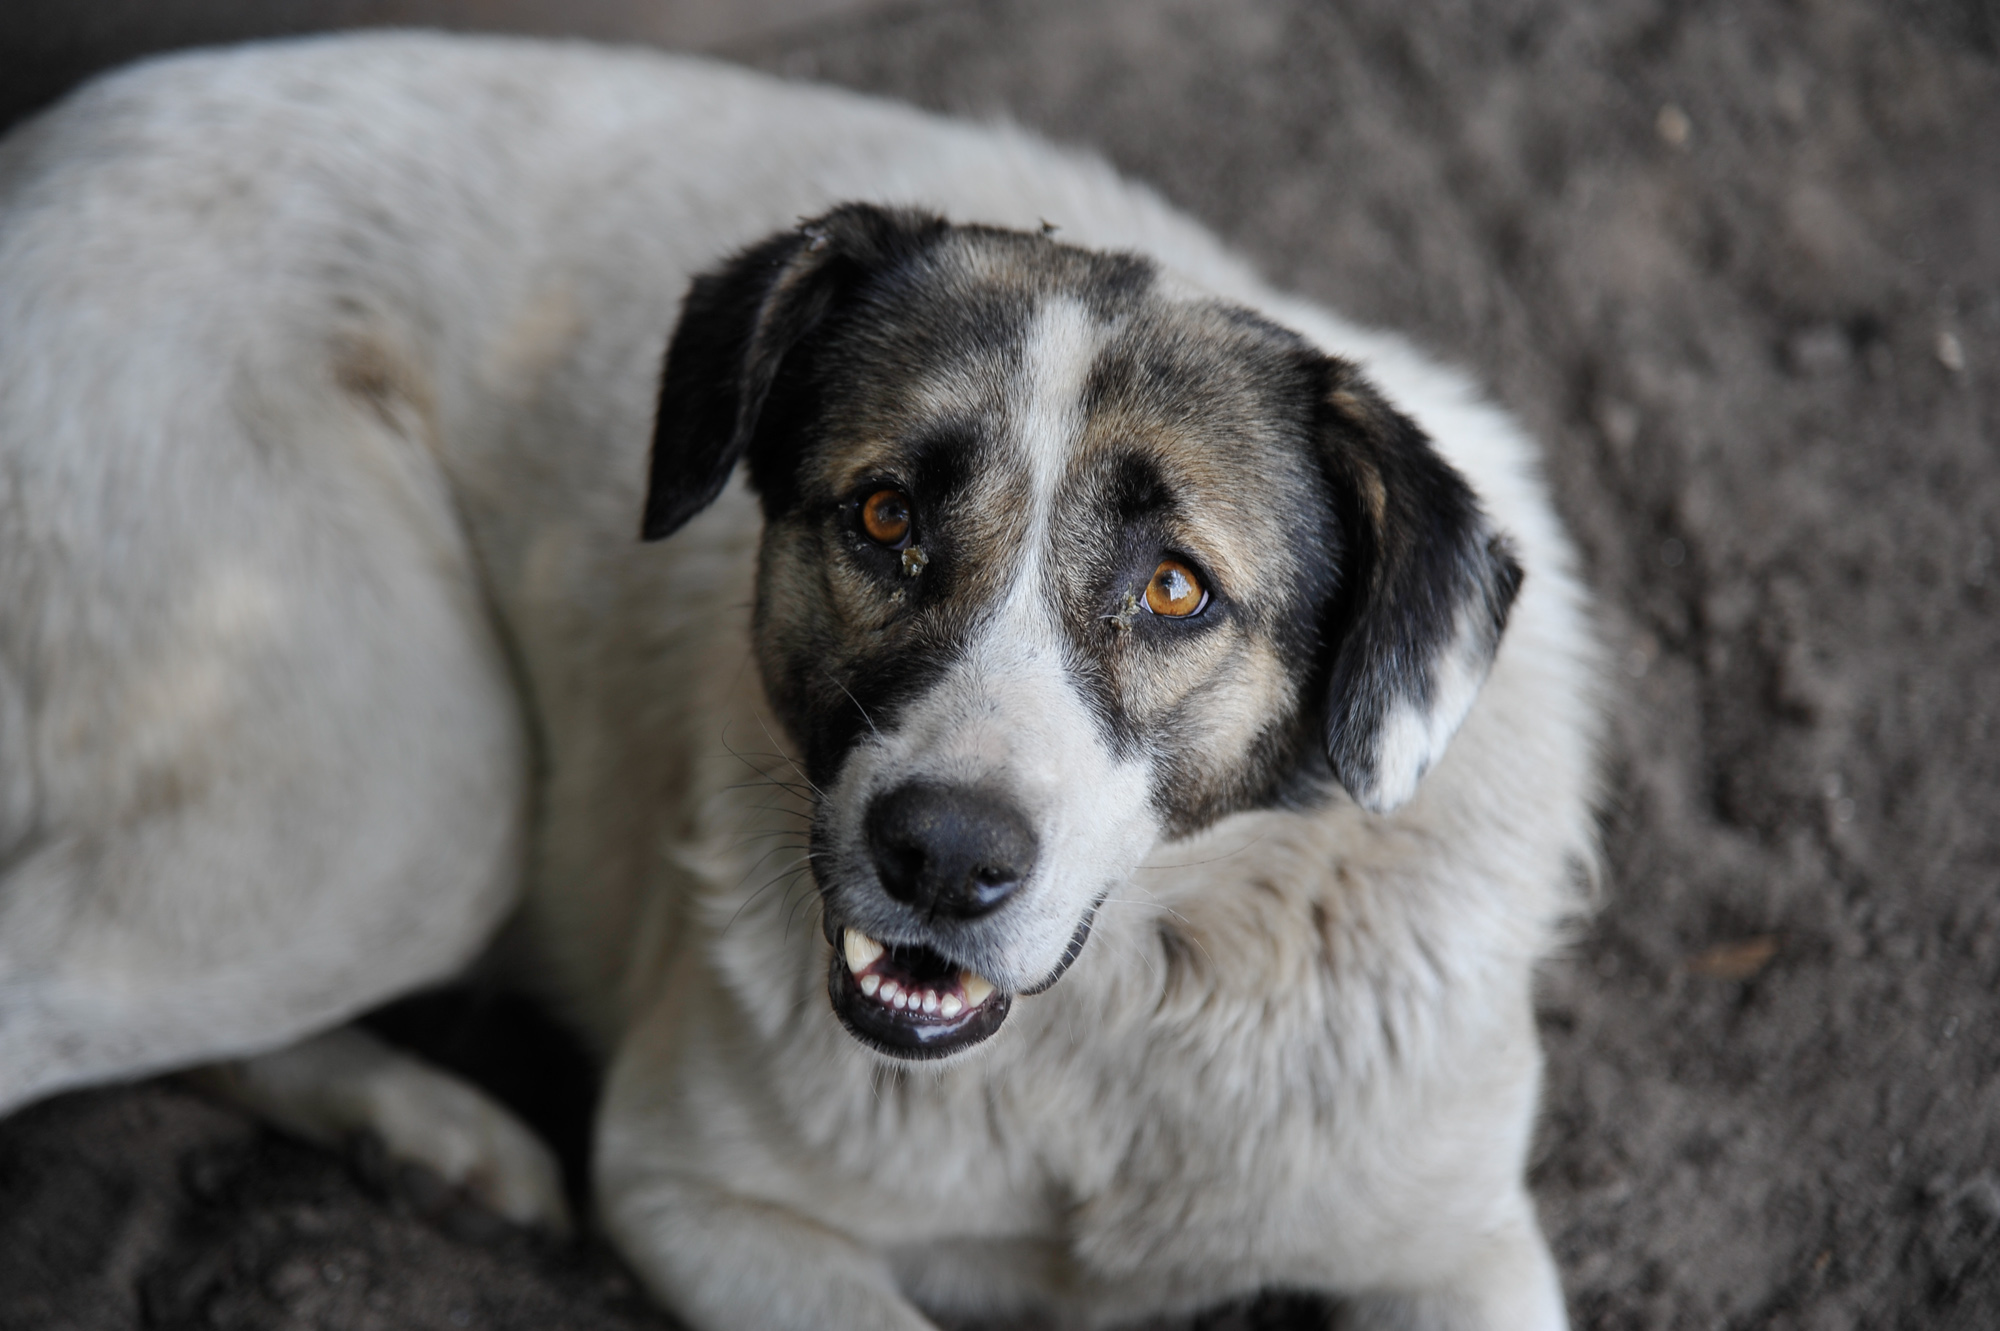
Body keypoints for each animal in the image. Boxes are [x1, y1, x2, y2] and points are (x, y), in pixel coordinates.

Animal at [0, 31, 1600, 1327]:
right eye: (885, 516)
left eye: (1173, 588)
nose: (940, 855)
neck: (1113, 1033)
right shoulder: (692, 1187)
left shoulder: (1464, 1247)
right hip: (403, 802)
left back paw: (423, 1132)